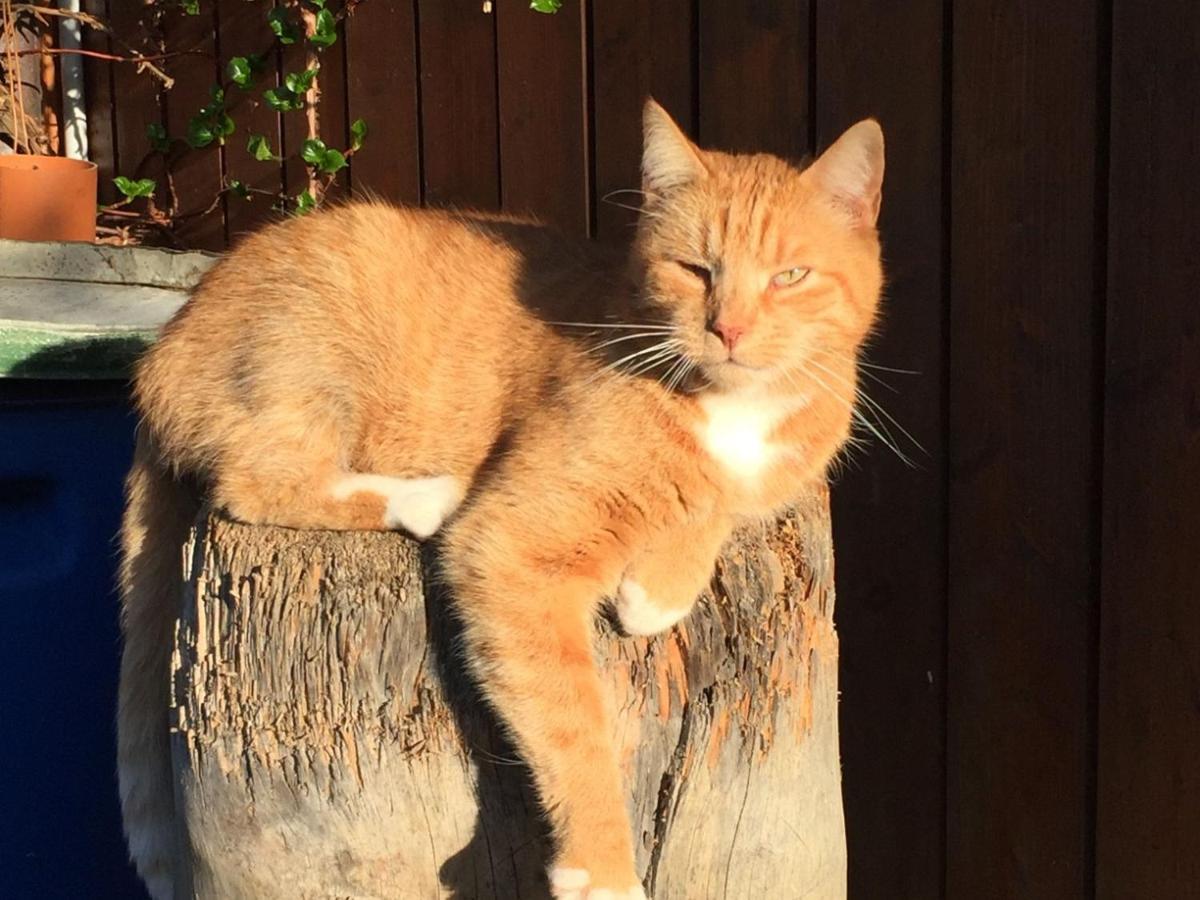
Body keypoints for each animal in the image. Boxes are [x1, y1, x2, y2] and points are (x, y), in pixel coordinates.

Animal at [119, 102, 883, 897]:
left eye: (790, 276)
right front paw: (604, 868)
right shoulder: (511, 549)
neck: (733, 410)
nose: (728, 329)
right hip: (308, 370)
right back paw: (425, 496)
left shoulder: (773, 477)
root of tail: (164, 347)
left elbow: (719, 504)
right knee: (250, 481)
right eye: (693, 269)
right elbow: (574, 722)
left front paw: (662, 584)